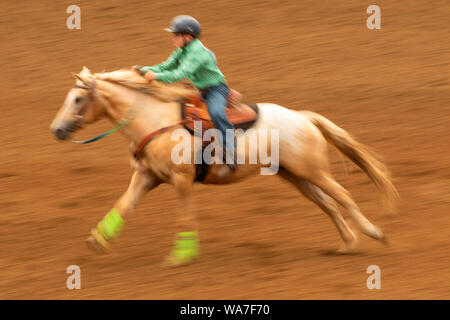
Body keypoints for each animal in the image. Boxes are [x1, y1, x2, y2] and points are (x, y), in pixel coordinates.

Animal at [51, 67, 400, 264]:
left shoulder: (181, 179)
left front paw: (181, 256)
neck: (156, 120)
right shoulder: (147, 176)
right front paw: (98, 239)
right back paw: (348, 244)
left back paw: (374, 233)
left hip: (313, 171)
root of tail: (302, 117)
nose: (57, 130)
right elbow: (124, 205)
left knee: (342, 195)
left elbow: (185, 215)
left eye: (78, 99)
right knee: (327, 203)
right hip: (295, 176)